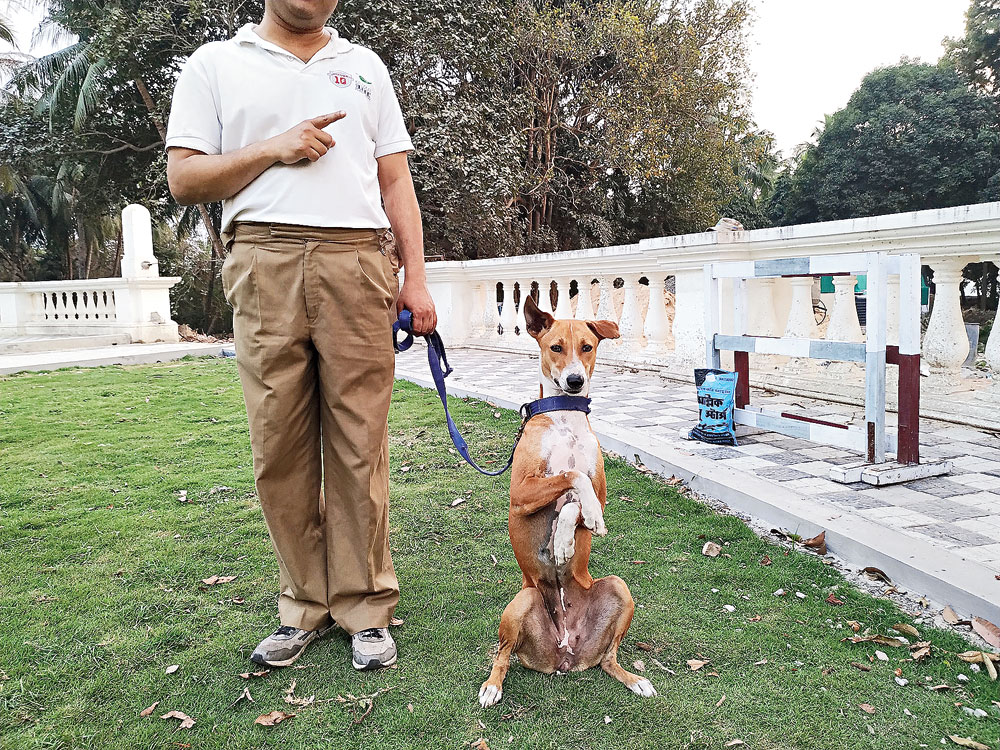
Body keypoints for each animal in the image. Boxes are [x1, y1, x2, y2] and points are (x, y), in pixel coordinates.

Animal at [480, 296, 660, 708]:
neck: (565, 416)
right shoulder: (521, 493)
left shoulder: (602, 492)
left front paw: (567, 536)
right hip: (521, 603)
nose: (575, 381)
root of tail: (564, 652)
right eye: (556, 347)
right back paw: (492, 687)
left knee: (609, 659)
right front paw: (565, 535)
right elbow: (570, 478)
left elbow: (577, 499)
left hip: (619, 589)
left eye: (587, 347)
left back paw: (634, 680)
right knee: (502, 655)